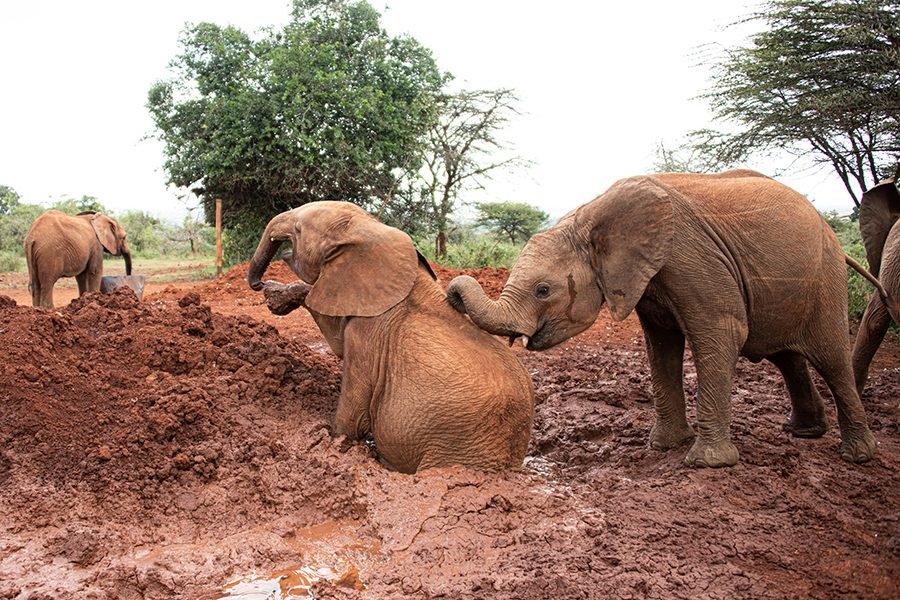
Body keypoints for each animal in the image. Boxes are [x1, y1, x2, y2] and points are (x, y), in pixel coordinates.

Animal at [244, 202, 536, 474]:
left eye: (298, 230)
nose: (259, 284)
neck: (371, 230)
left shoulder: (369, 334)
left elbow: (353, 415)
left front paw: (330, 435)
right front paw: (277, 295)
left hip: (454, 451)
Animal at [450, 170, 880, 468]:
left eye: (543, 290)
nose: (451, 294)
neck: (591, 214)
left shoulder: (692, 259)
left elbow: (722, 333)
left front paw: (707, 464)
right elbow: (661, 347)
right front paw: (664, 446)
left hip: (825, 278)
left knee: (830, 357)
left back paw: (859, 456)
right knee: (786, 356)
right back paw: (805, 433)